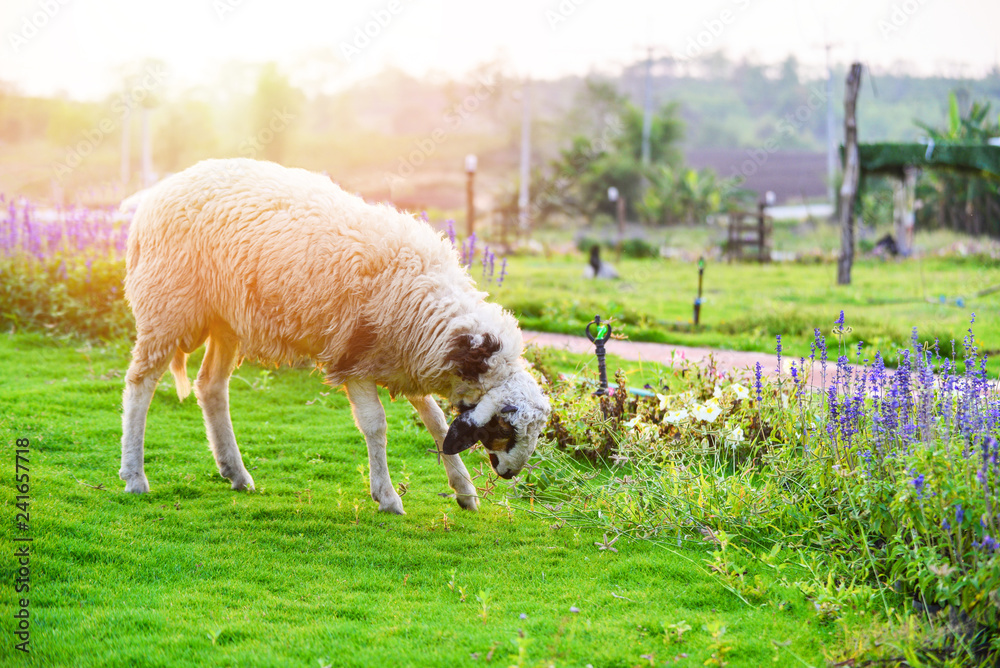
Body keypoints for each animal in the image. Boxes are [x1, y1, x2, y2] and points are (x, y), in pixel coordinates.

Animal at [119, 158, 550, 514]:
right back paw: (135, 475)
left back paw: (236, 473)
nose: (510, 474)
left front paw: (464, 490)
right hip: (167, 305)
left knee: (210, 386)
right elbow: (376, 425)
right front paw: (387, 496)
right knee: (140, 383)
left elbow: (438, 423)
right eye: (503, 428)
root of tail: (160, 189)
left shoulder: (404, 359)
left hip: (227, 319)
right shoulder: (354, 360)